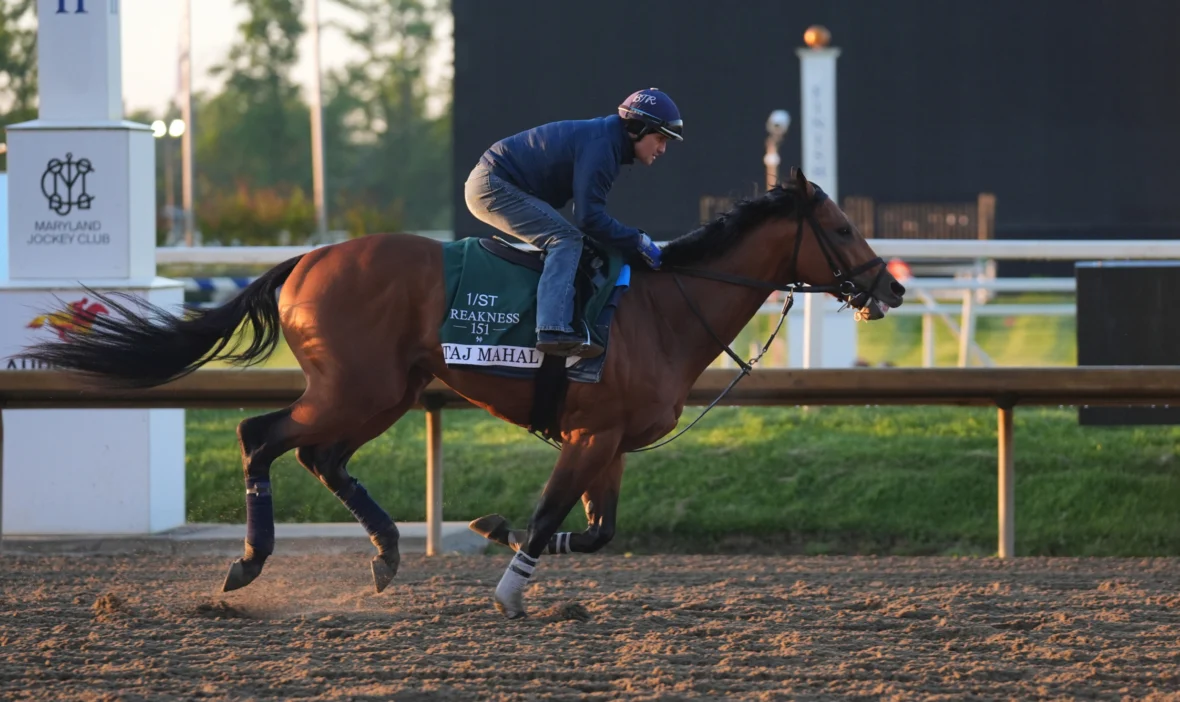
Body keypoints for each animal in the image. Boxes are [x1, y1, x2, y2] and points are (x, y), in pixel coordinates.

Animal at [15, 167, 905, 619]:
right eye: (842, 228)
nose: (890, 287)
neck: (664, 306)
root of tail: (305, 260)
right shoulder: (589, 436)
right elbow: (550, 518)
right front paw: (510, 585)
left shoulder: (609, 441)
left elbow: (597, 532)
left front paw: (490, 526)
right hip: (355, 388)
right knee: (262, 437)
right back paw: (247, 563)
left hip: (385, 393)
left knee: (321, 458)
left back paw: (385, 552)